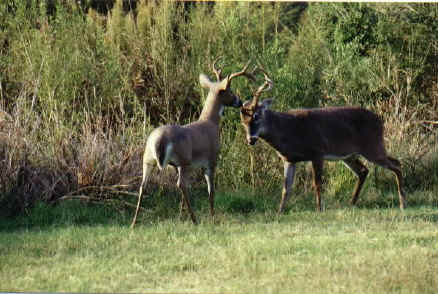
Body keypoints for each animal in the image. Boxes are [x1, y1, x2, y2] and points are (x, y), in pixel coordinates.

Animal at [130, 58, 255, 227]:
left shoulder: (177, 166)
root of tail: (159, 139)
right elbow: (210, 190)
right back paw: (195, 220)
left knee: (143, 186)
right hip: (184, 160)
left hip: (149, 160)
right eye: (229, 90)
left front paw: (180, 216)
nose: (239, 101)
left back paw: (133, 223)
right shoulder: (211, 160)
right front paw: (213, 217)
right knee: (180, 184)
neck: (210, 123)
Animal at [240, 68, 408, 214]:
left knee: (396, 164)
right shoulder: (289, 159)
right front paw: (279, 212)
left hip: (373, 146)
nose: (250, 140)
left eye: (256, 116)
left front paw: (319, 209)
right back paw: (352, 203)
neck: (288, 130)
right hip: (350, 155)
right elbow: (286, 188)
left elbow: (317, 183)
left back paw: (402, 203)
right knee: (364, 170)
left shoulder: (317, 151)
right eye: (243, 121)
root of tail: (380, 120)